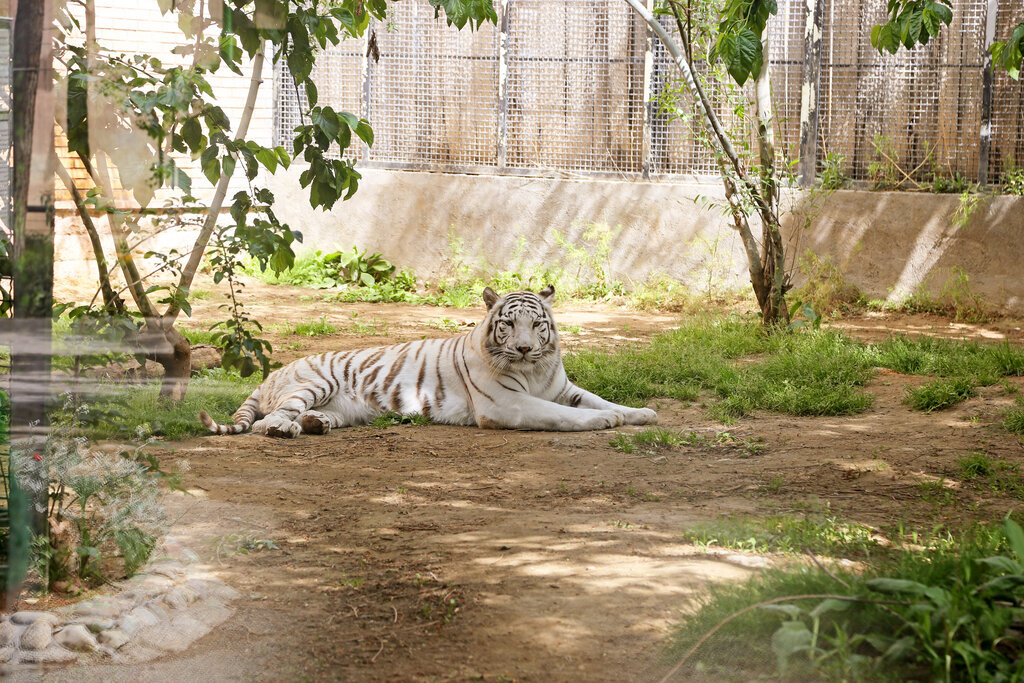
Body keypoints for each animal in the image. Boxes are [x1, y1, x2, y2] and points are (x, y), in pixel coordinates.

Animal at [198, 284, 659, 438]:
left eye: (537, 324)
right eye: (509, 324)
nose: (526, 348)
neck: (534, 371)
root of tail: (270, 374)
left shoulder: (563, 388)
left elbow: (598, 399)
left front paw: (640, 413)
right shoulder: (506, 404)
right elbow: (564, 415)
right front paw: (605, 421)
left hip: (346, 408)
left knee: (313, 416)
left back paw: (316, 424)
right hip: (314, 383)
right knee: (268, 420)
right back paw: (288, 429)